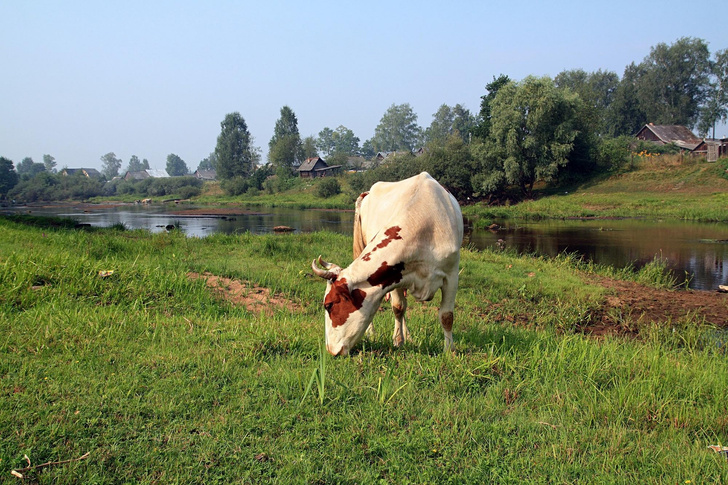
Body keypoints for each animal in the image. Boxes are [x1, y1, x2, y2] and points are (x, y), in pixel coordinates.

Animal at [312, 172, 460, 354]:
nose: (330, 349)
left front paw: (450, 351)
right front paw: (398, 340)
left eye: (329, 305)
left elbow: (446, 316)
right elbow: (398, 307)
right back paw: (374, 333)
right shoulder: (395, 275)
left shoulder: (451, 275)